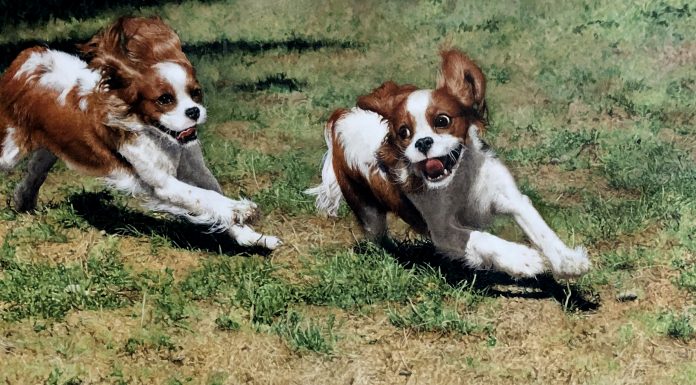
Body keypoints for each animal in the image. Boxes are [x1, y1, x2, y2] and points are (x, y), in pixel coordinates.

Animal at [3, 17, 280, 249]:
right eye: (165, 99)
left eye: (196, 93)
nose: (193, 111)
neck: (161, 136)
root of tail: (28, 56)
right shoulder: (164, 184)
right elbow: (205, 198)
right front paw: (242, 209)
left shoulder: (197, 173)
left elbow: (211, 200)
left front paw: (254, 238)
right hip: (10, 150)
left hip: (51, 149)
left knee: (34, 173)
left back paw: (25, 203)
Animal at [308, 48, 588, 280]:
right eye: (403, 132)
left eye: (442, 121)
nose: (423, 142)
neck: (458, 178)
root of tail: (341, 114)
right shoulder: (442, 229)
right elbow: (482, 238)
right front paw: (522, 259)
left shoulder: (511, 199)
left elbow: (541, 230)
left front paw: (569, 262)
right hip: (367, 210)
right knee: (377, 236)